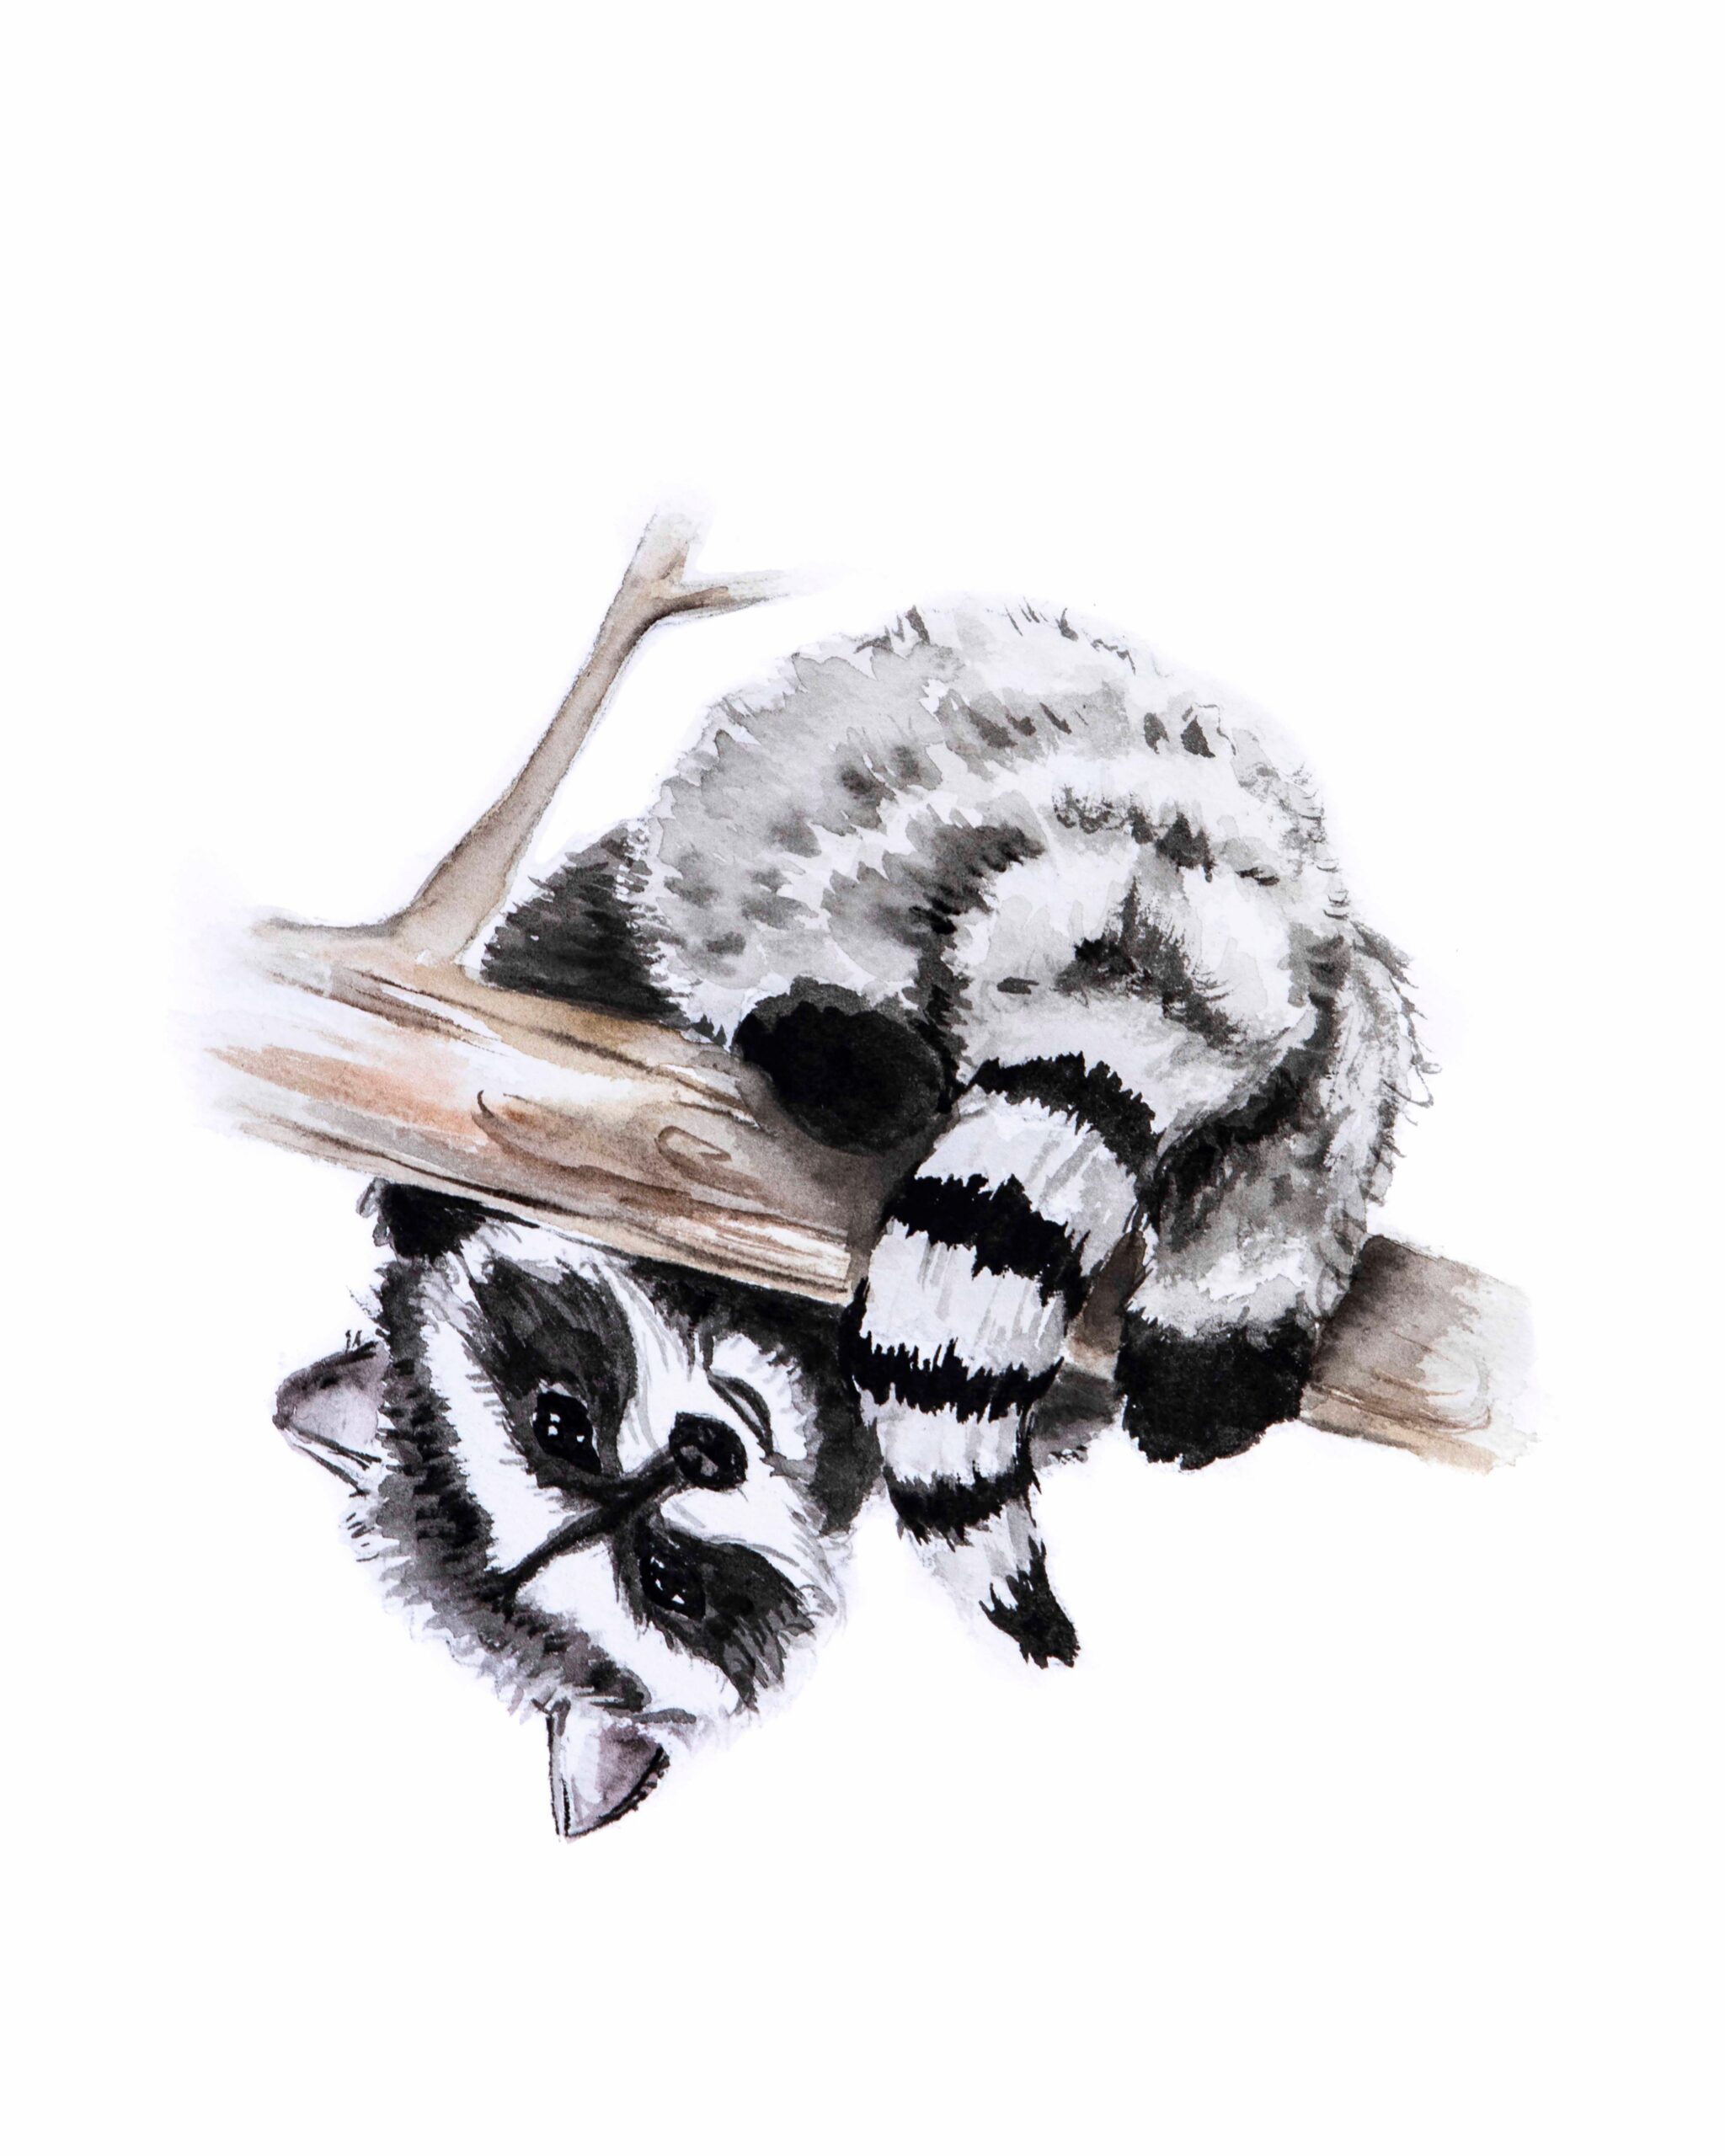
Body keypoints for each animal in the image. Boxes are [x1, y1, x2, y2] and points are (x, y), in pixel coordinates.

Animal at [276, 597, 1420, 1833]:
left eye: (560, 1423)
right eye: (670, 1584)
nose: (708, 1448)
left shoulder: (564, 959)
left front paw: (419, 1205)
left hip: (928, 757)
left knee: (755, 883)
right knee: (1340, 1057)